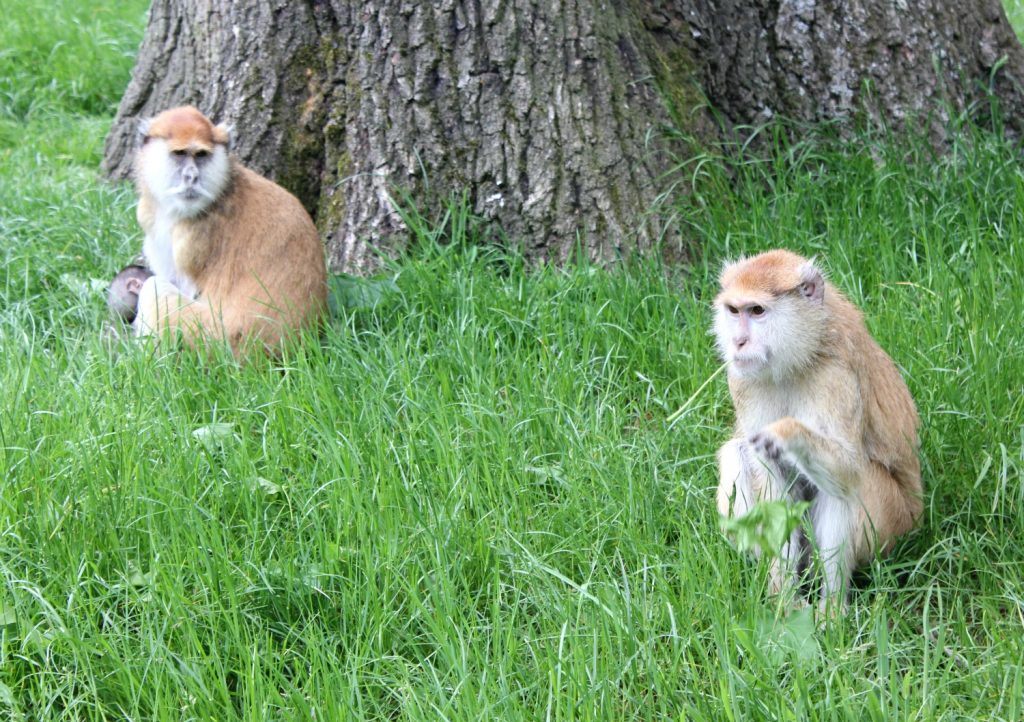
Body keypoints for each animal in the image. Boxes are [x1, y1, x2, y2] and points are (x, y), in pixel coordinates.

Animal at [131, 105, 327, 356]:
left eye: (201, 155)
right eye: (180, 153)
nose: (192, 177)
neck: (223, 187)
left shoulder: (192, 236)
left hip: (212, 340)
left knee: (153, 289)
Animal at [712, 249, 922, 608]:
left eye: (757, 311)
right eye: (734, 310)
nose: (738, 342)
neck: (802, 353)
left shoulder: (835, 378)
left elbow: (847, 469)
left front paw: (787, 433)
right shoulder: (741, 379)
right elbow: (770, 478)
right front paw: (784, 602)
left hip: (896, 526)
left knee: (857, 480)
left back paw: (833, 607)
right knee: (735, 453)